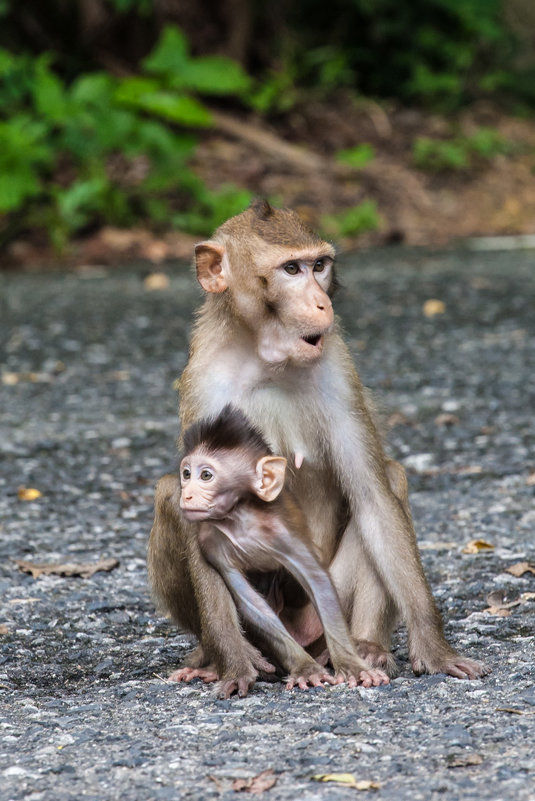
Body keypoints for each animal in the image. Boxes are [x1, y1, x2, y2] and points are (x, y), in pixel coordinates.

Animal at [179, 406, 390, 692]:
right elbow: (250, 601)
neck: (242, 520)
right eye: (186, 473)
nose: (186, 494)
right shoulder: (211, 541)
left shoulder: (282, 532)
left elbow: (317, 580)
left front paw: (351, 664)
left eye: (206, 475)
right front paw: (305, 668)